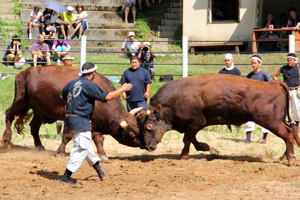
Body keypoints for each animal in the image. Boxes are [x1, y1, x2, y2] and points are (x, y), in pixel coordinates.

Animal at [1, 65, 144, 159]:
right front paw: (60, 152)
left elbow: (98, 138)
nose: (144, 144)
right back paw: (6, 139)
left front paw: (103, 155)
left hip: (39, 110)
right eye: (132, 134)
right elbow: (67, 136)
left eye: (138, 128)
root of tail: (25, 72)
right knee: (9, 113)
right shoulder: (69, 118)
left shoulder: (93, 122)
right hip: (21, 101)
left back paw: (39, 146)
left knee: (34, 127)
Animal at [138, 74, 300, 165]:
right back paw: (283, 157)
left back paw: (291, 159)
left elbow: (187, 140)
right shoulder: (193, 126)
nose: (148, 147)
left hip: (271, 121)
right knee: (291, 130)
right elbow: (193, 140)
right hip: (279, 120)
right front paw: (207, 148)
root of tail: (273, 83)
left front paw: (184, 155)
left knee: (287, 134)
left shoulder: (195, 123)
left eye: (149, 126)